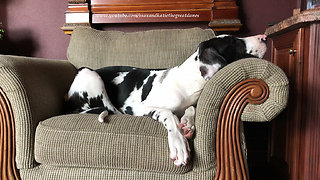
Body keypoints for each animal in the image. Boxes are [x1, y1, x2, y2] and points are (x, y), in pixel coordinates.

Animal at [65, 34, 268, 167]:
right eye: (234, 41)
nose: (265, 36)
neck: (187, 83)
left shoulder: (190, 102)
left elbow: (191, 109)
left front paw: (188, 123)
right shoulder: (139, 107)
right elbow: (169, 114)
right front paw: (179, 143)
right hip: (89, 73)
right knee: (111, 109)